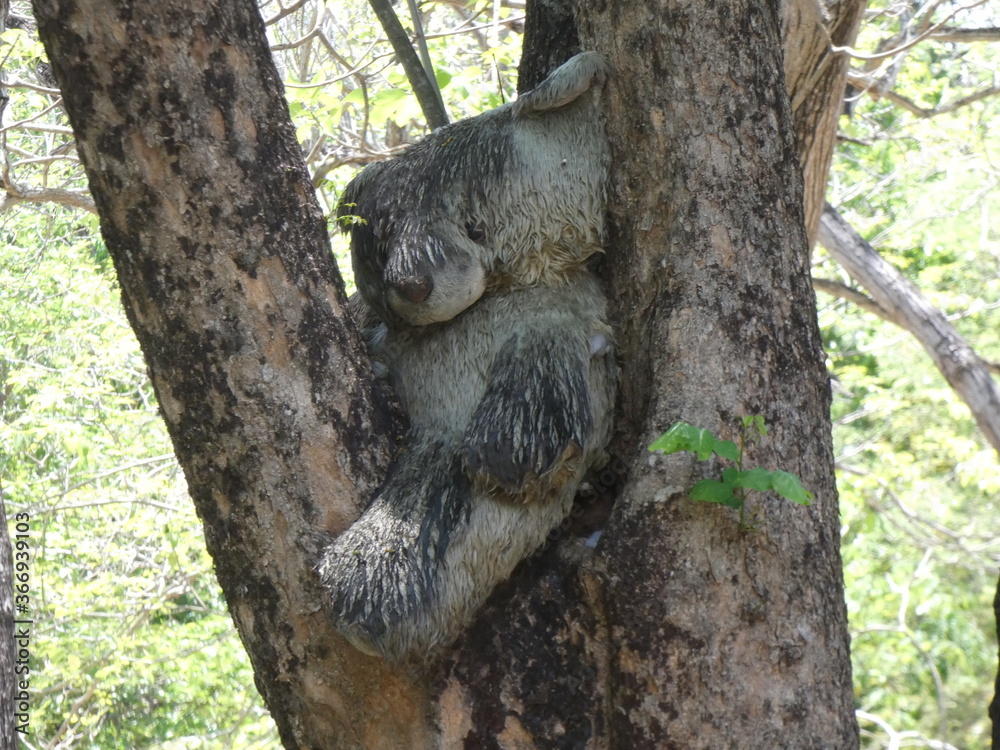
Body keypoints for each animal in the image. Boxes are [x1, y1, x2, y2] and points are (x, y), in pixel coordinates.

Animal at [318, 52, 616, 661]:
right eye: (378, 242)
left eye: (474, 222)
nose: (410, 285)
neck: (505, 287)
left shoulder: (550, 325)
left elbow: (514, 455)